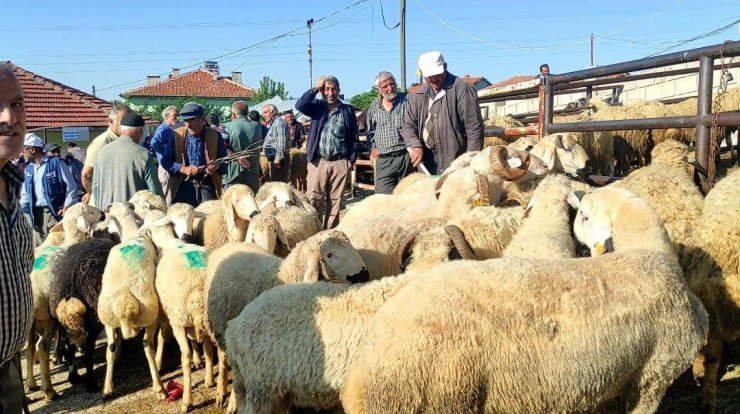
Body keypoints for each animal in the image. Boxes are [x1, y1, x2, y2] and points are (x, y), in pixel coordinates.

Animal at [23, 204, 102, 402]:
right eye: (90, 212)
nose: (103, 213)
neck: (71, 241)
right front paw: (62, 356)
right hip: (48, 318)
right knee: (42, 346)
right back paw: (49, 390)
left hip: (29, 322)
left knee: (29, 347)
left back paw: (31, 383)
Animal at [47, 230, 119, 394]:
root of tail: (69, 299)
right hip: (93, 321)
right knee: (88, 351)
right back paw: (91, 383)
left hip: (66, 324)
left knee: (68, 345)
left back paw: (74, 377)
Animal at [97, 210, 166, 402]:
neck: (131, 234)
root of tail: (125, 303)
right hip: (150, 317)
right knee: (147, 345)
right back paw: (159, 387)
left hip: (108, 320)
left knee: (110, 349)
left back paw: (107, 390)